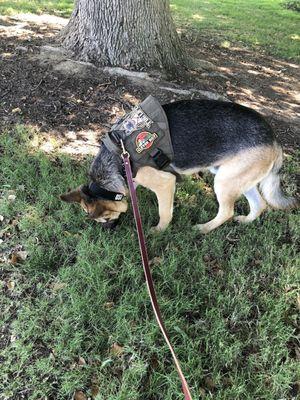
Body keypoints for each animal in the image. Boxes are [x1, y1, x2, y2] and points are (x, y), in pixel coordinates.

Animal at [60, 98, 298, 233]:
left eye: (105, 218)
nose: (106, 231)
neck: (119, 156)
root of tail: (274, 139)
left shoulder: (165, 184)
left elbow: (165, 212)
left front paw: (159, 231)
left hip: (224, 182)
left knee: (227, 211)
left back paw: (203, 229)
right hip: (234, 177)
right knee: (260, 205)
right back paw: (246, 221)